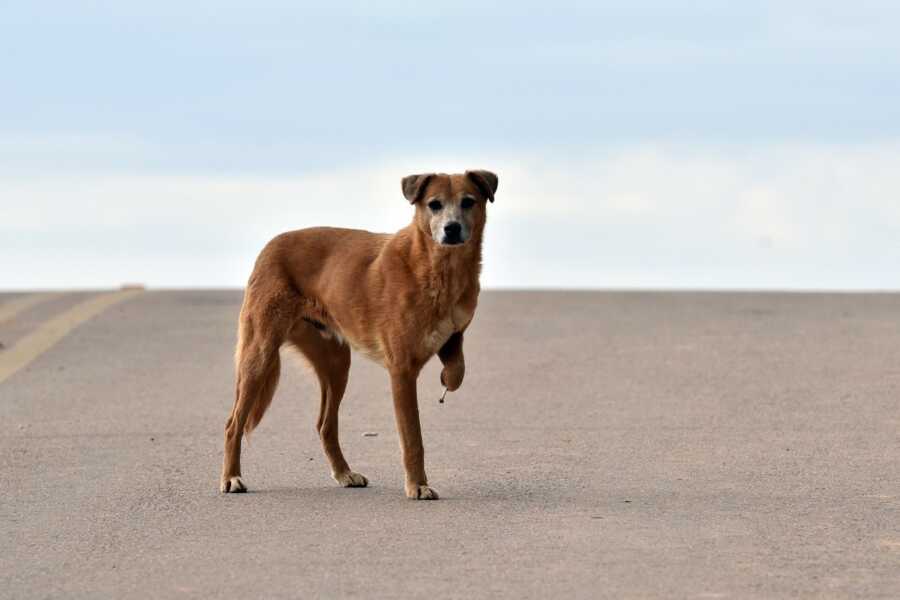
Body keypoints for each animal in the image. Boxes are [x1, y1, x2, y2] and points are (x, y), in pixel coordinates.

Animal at [221, 169, 496, 496]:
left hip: (336, 364)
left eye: (468, 202)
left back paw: (344, 473)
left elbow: (457, 369)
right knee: (233, 423)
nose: (451, 229)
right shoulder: (402, 371)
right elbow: (413, 438)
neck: (438, 268)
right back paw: (231, 477)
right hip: (259, 355)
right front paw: (417, 485)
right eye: (434, 204)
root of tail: (272, 243)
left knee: (325, 425)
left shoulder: (455, 336)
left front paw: (446, 379)